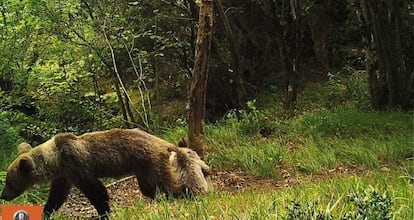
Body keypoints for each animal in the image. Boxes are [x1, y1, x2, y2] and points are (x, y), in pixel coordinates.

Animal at [0, 128, 210, 219]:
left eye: (8, 181)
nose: (3, 195)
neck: (55, 160)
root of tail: (164, 143)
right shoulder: (64, 176)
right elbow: (56, 196)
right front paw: (46, 212)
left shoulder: (77, 165)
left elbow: (97, 191)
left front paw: (104, 213)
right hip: (143, 171)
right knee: (151, 189)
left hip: (151, 162)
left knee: (167, 185)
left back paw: (190, 193)